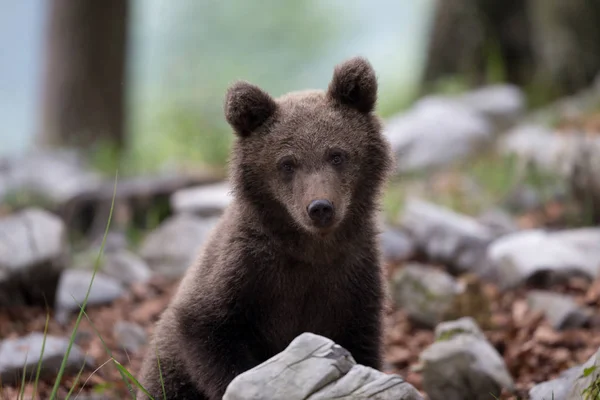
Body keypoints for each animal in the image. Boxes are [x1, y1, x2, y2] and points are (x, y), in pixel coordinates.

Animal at [138, 57, 396, 400]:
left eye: (337, 154)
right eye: (287, 163)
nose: (320, 207)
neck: (311, 249)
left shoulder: (353, 278)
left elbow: (362, 343)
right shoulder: (245, 271)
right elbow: (206, 327)